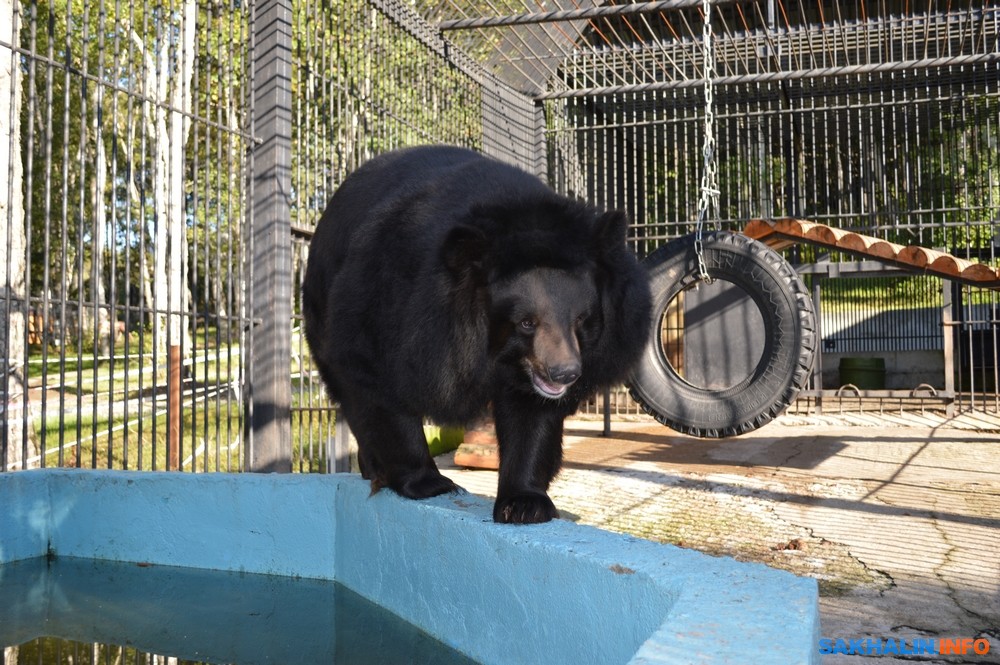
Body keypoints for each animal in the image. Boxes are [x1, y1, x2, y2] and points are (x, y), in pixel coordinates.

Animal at [300, 145, 652, 524]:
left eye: (583, 320)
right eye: (526, 322)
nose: (565, 374)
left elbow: (532, 414)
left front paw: (524, 503)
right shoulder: (391, 304)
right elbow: (377, 381)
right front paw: (430, 483)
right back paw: (372, 467)